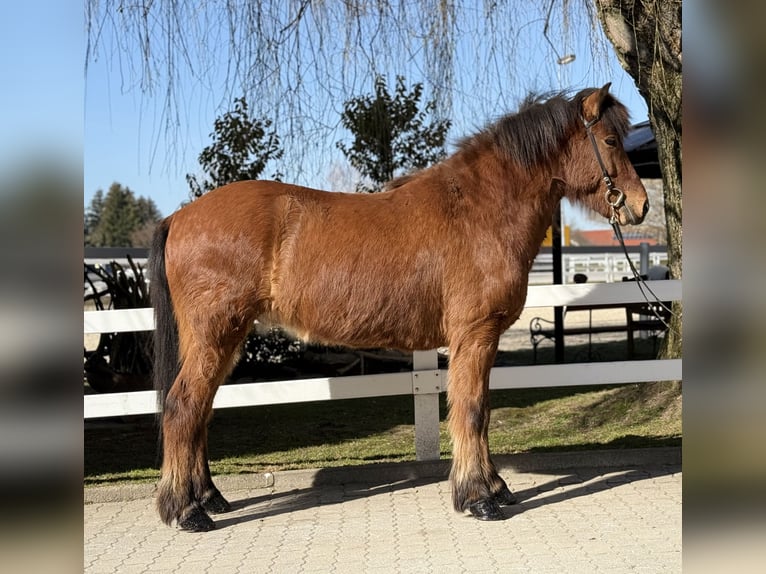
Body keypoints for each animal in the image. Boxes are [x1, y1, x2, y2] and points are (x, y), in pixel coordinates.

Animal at [148, 83, 648, 532]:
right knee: (183, 406)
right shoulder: (475, 334)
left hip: (220, 340)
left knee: (200, 411)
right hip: (217, 334)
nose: (641, 206)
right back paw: (186, 511)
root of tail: (180, 216)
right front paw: (478, 499)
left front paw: (494, 487)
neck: (478, 211)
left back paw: (208, 497)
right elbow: (471, 410)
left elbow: (482, 410)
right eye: (609, 140)